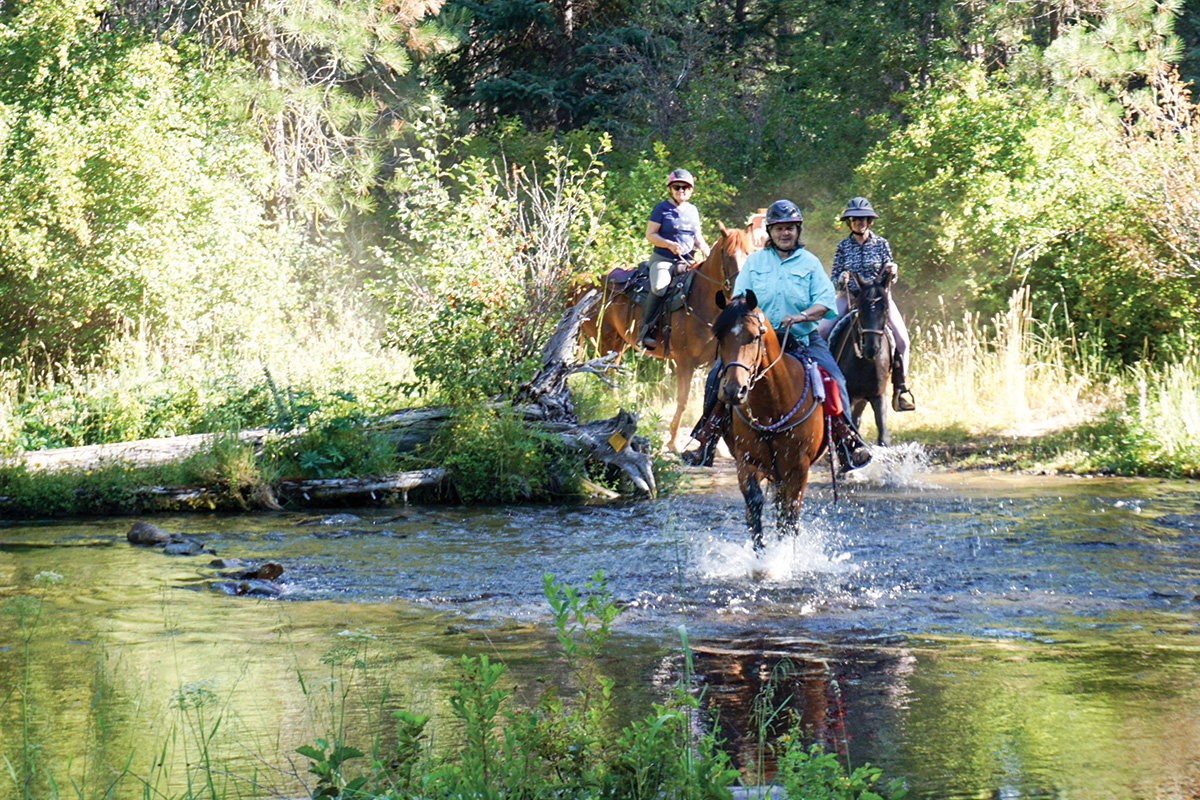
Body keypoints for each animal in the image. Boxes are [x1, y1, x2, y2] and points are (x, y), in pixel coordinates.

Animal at [578, 221, 753, 450]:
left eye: (750, 253)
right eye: (728, 254)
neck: (700, 300)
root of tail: (587, 282)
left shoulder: (718, 364)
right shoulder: (685, 362)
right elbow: (683, 400)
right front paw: (672, 441)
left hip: (618, 344)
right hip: (605, 342)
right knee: (605, 374)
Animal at [710, 292, 825, 551]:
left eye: (754, 337)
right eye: (719, 336)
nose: (734, 390)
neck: (773, 406)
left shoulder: (798, 468)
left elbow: (790, 518)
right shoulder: (747, 462)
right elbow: (754, 506)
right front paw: (761, 553)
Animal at [830, 272, 897, 448]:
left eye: (885, 309)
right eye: (860, 308)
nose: (871, 349)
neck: (864, 364)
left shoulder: (878, 395)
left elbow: (883, 438)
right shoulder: (847, 396)